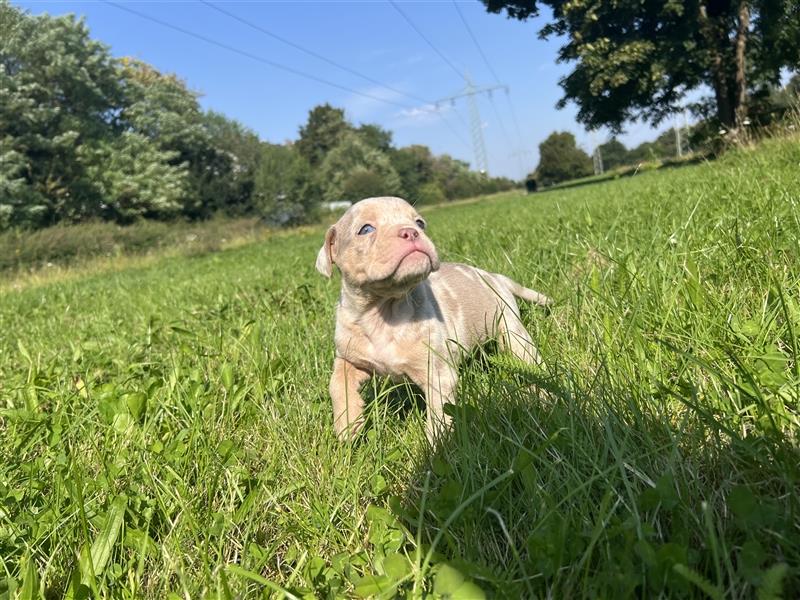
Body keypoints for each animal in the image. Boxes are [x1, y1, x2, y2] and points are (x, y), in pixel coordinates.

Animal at [314, 197, 552, 440]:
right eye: (366, 229)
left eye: (419, 223)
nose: (411, 232)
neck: (384, 310)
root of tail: (495, 277)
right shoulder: (350, 355)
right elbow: (337, 382)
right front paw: (347, 425)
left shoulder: (438, 373)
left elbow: (438, 416)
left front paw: (437, 446)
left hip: (512, 331)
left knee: (532, 363)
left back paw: (543, 398)